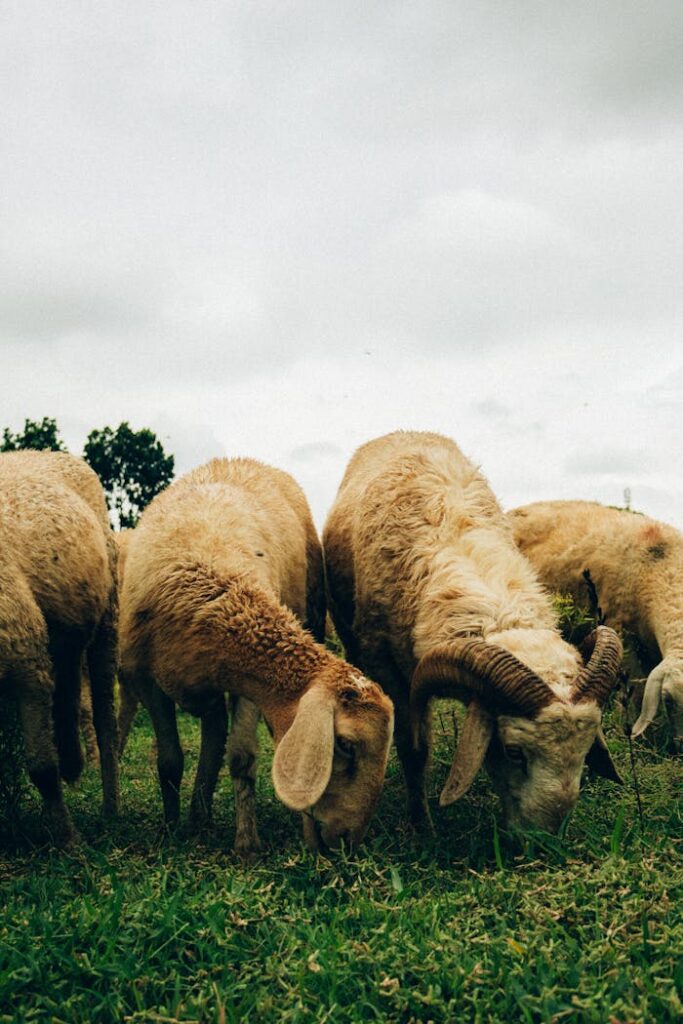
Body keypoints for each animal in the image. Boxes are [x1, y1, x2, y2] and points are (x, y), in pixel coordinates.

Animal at [0, 450, 120, 843]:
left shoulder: (25, 655)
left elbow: (41, 766)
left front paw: (69, 840)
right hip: (66, 625)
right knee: (68, 690)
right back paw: (73, 761)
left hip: (106, 617)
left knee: (103, 716)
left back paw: (111, 806)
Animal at [118, 457, 393, 854]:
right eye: (345, 745)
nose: (347, 843)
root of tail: (242, 460)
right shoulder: (144, 679)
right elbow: (169, 760)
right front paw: (168, 831)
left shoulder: (247, 685)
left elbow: (241, 757)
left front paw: (246, 842)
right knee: (213, 729)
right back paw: (197, 818)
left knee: (217, 732)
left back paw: (201, 816)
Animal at [323, 431, 624, 834]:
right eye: (513, 752)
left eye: (587, 748)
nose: (544, 840)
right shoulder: (391, 671)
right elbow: (415, 750)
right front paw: (423, 828)